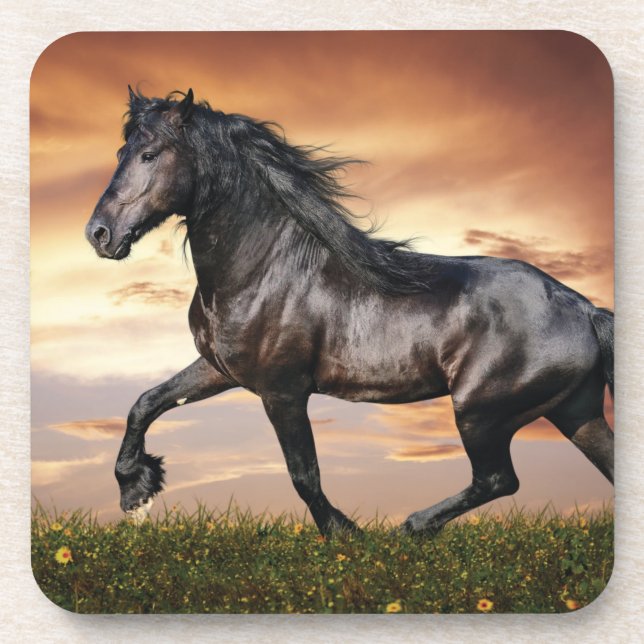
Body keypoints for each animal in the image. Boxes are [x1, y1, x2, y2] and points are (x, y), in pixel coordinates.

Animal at [85, 88, 614, 535]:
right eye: (120, 154)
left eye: (150, 154)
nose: (99, 234)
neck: (264, 269)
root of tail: (585, 310)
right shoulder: (220, 369)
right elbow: (146, 403)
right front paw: (136, 490)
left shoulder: (282, 391)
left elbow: (303, 474)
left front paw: (345, 534)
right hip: (575, 413)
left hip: (481, 412)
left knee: (498, 479)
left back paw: (411, 528)